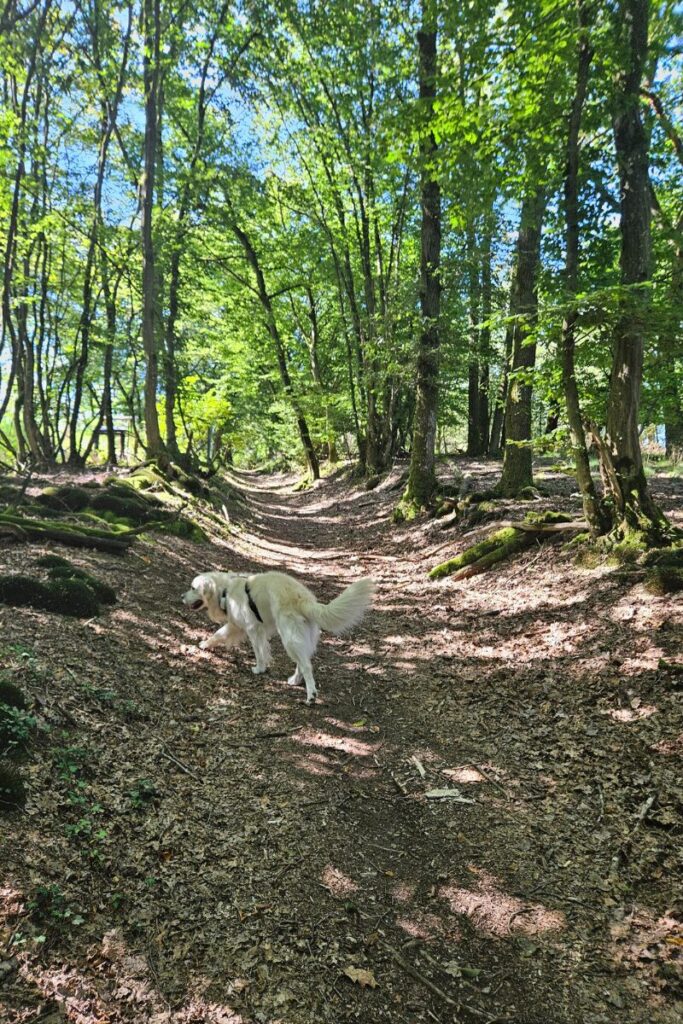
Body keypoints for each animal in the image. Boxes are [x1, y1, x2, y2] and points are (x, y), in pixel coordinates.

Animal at [181, 569, 374, 704]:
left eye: (192, 588)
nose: (181, 596)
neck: (224, 591)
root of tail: (305, 598)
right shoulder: (236, 626)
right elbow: (218, 634)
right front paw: (205, 644)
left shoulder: (253, 628)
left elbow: (259, 652)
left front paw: (259, 668)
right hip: (299, 638)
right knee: (303, 661)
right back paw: (295, 680)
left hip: (288, 637)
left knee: (306, 665)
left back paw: (311, 695)